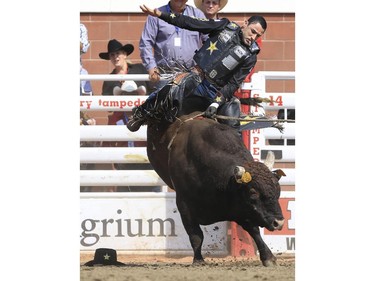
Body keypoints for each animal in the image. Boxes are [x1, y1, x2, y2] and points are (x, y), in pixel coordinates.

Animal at [145, 109, 286, 264]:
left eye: (278, 191)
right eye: (253, 192)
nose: (279, 222)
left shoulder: (242, 208)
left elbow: (254, 231)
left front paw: (268, 257)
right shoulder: (184, 205)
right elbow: (196, 235)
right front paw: (199, 260)